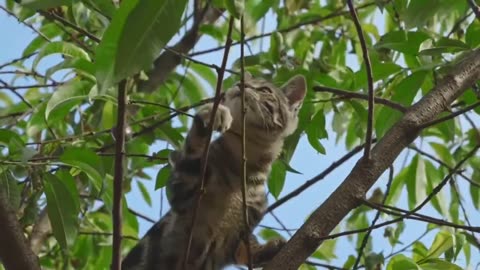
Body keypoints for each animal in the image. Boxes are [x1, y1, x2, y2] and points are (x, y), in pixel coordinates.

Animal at [122, 74, 306, 270]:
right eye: (239, 81)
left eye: (264, 90)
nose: (240, 84)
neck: (239, 166)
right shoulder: (181, 191)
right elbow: (192, 153)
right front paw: (210, 115)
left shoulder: (239, 233)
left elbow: (246, 248)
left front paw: (267, 249)